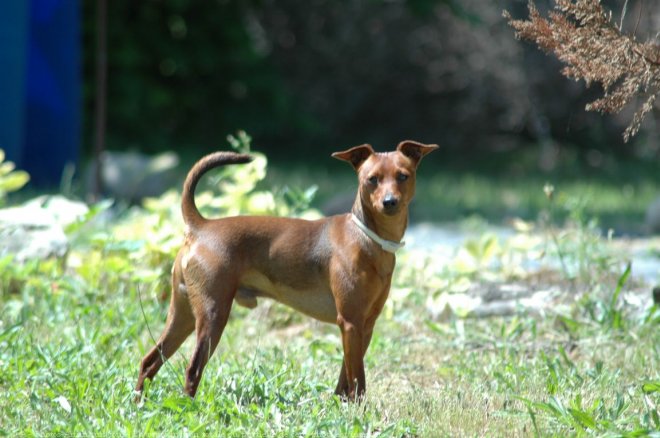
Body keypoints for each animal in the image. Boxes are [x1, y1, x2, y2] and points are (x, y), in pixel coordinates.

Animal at [135, 140, 438, 400]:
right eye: (372, 179)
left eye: (403, 176)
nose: (389, 202)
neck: (367, 237)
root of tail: (200, 226)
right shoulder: (351, 322)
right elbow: (358, 381)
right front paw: (359, 414)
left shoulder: (363, 326)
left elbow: (346, 377)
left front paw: (341, 407)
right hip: (212, 316)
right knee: (192, 369)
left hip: (183, 314)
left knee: (149, 361)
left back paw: (138, 403)